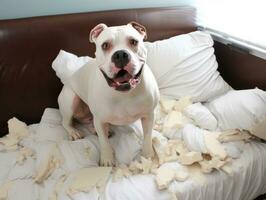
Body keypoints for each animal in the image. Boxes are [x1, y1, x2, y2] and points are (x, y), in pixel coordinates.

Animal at [57, 21, 159, 166]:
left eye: (133, 42)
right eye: (105, 45)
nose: (120, 54)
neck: (124, 94)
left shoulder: (149, 115)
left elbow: (148, 136)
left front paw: (147, 154)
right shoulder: (100, 120)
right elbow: (103, 142)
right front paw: (107, 159)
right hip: (70, 100)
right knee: (65, 122)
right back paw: (74, 132)